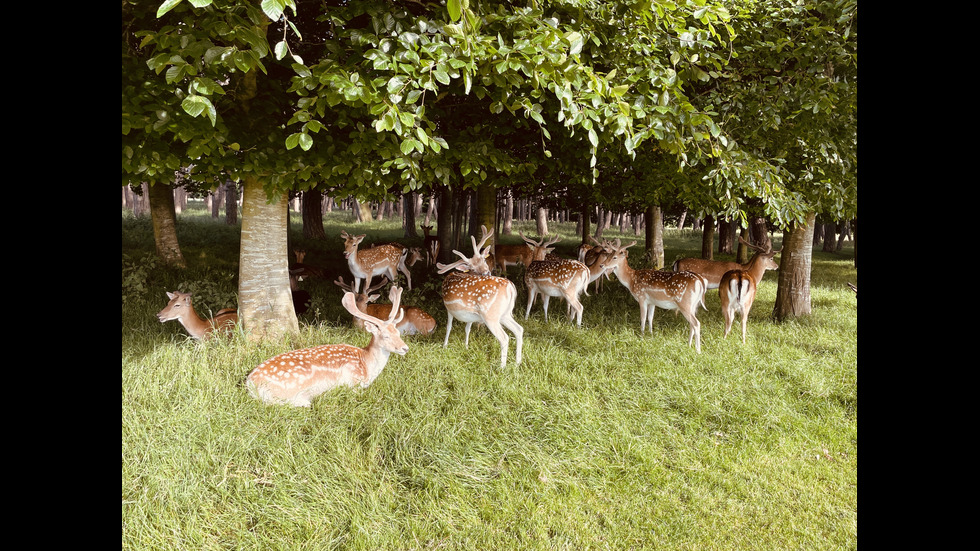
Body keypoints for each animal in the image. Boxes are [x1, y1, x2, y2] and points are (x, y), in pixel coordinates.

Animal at [249, 286, 414, 408]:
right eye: (386, 336)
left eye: (398, 332)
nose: (405, 348)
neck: (367, 365)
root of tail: (250, 382)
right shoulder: (353, 381)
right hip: (290, 386)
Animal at [438, 224, 524, 370]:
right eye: (471, 266)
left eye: (484, 259)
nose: (486, 272)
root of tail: (511, 288)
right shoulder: (470, 316)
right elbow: (467, 329)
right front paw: (466, 347)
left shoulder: (448, 308)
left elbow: (449, 326)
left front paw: (444, 346)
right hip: (505, 314)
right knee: (519, 329)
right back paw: (517, 362)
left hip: (490, 315)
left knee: (504, 337)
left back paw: (502, 367)